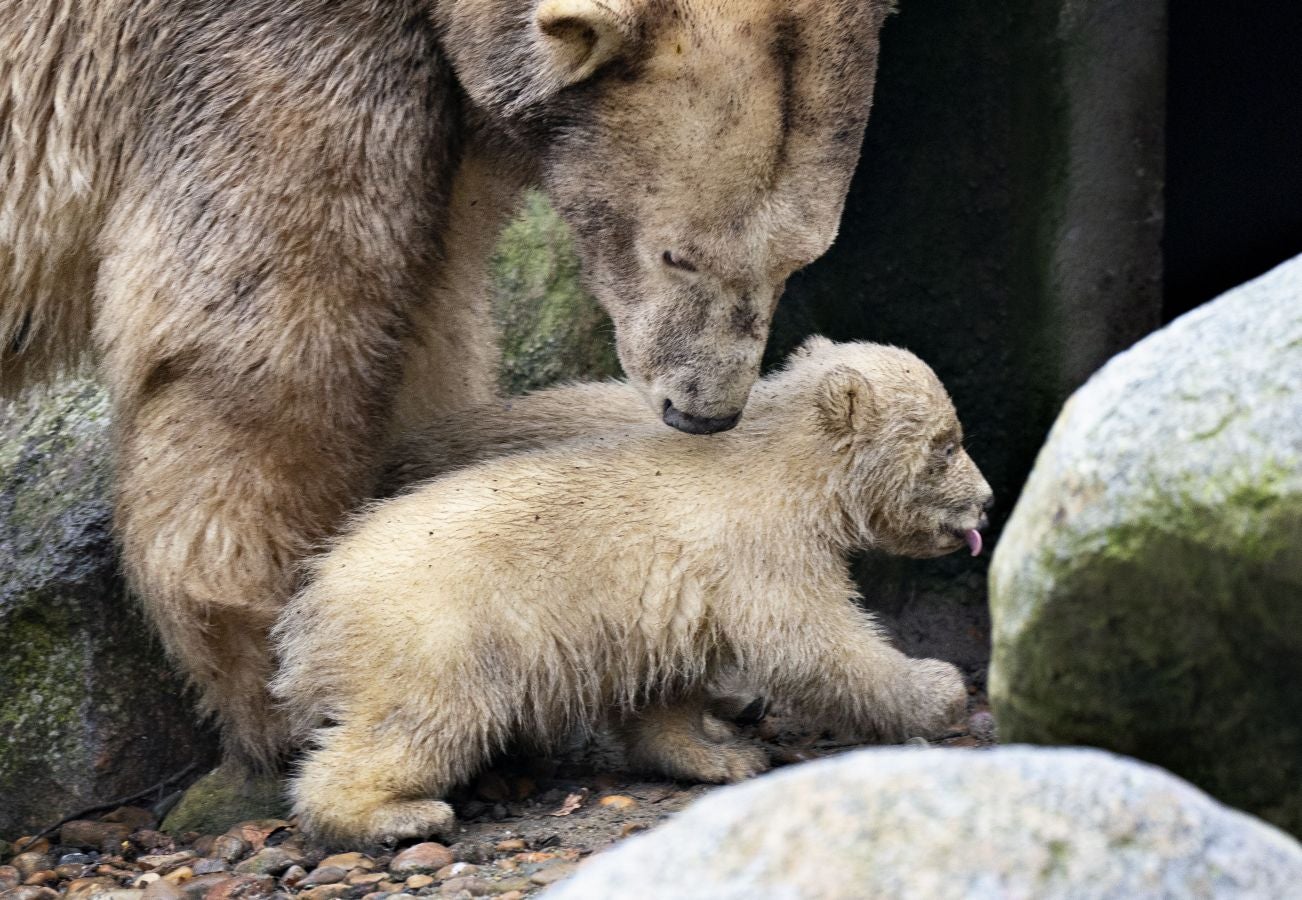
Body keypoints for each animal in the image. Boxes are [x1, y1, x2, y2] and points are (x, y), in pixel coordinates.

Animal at [0, 1, 895, 765]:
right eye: (679, 253)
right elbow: (274, 345)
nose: (705, 413)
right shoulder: (268, 46)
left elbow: (427, 321)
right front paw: (292, 683)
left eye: (800, 256)